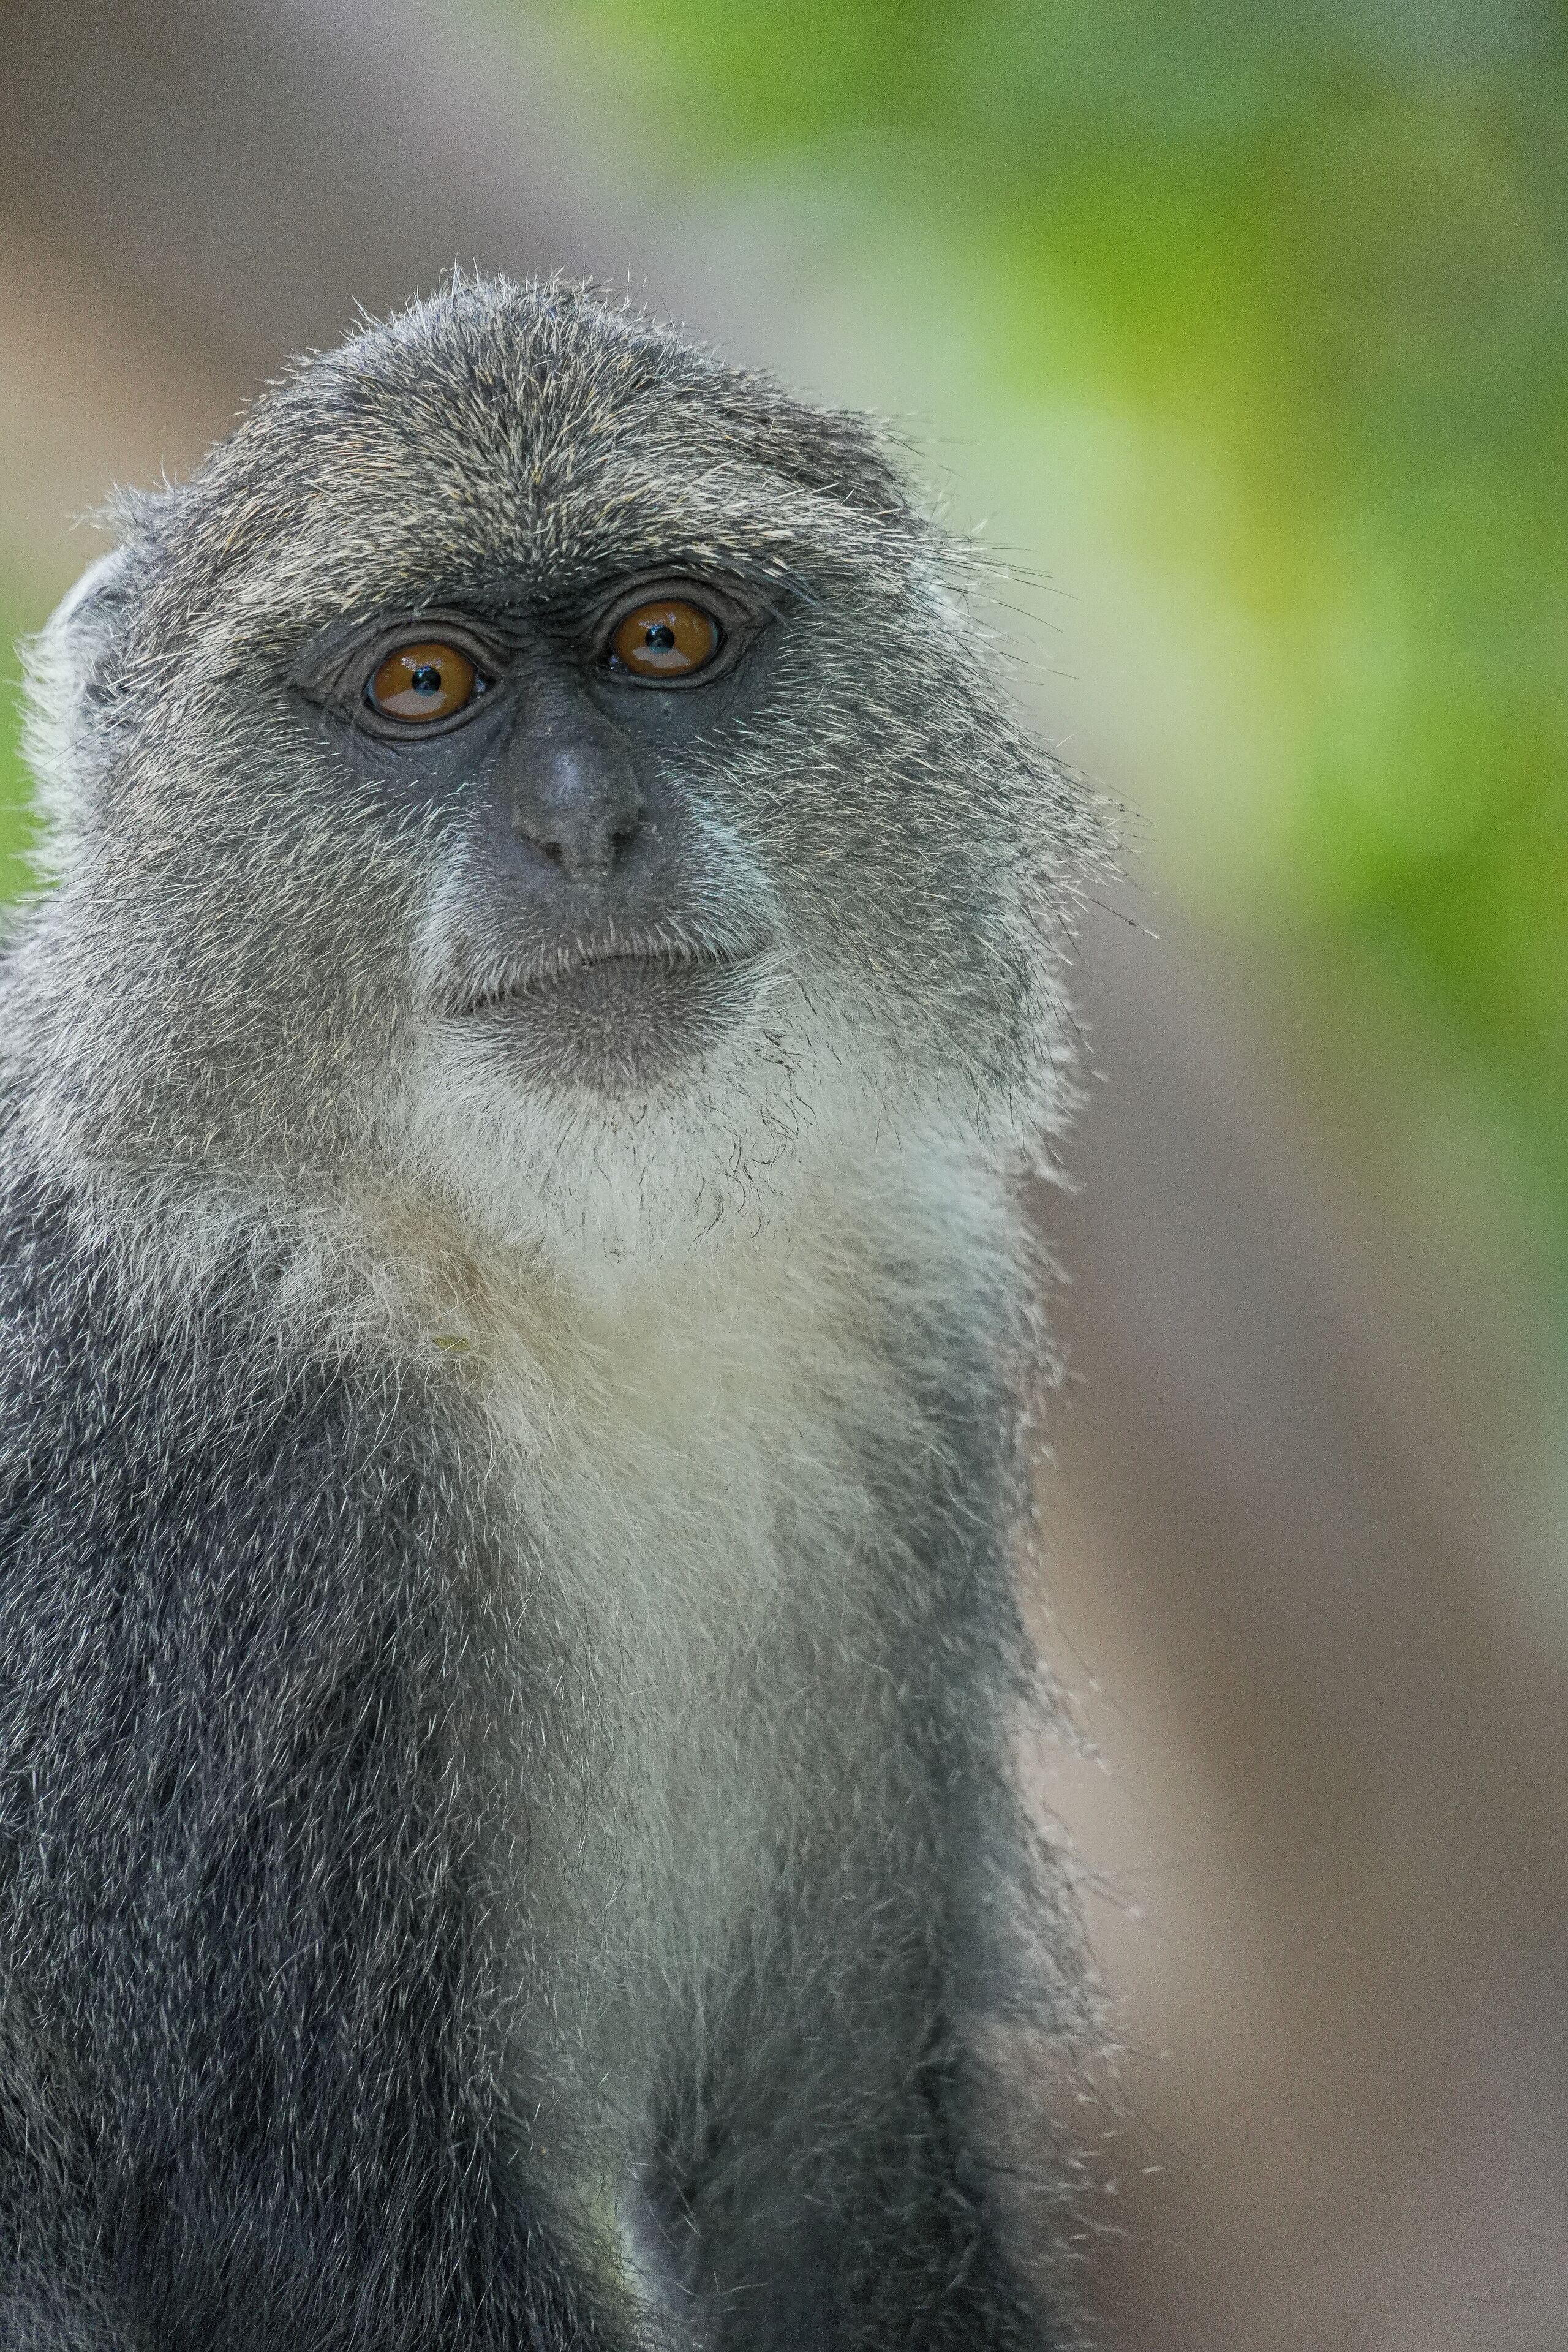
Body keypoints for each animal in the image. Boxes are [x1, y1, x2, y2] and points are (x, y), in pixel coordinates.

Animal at [0, 276, 1109, 2350]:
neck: (552, 1272)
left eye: (665, 637)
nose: (588, 833)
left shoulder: (889, 1357)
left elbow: (828, 2149)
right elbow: (322, 2206)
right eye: (423, 684)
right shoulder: (205, 1486)